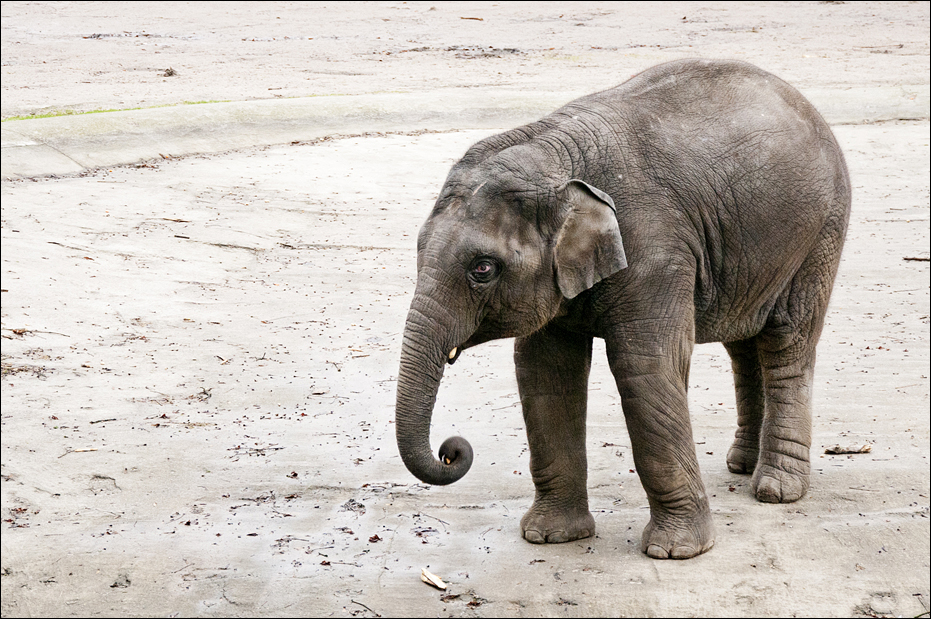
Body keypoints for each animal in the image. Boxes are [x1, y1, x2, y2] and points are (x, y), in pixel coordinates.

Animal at [394, 59, 850, 559]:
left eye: (482, 268)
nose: (451, 449)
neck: (556, 158)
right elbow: (544, 369)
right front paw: (550, 537)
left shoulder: (655, 250)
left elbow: (644, 367)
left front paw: (676, 552)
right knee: (743, 343)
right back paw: (741, 466)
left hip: (820, 233)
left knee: (787, 338)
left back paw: (775, 490)